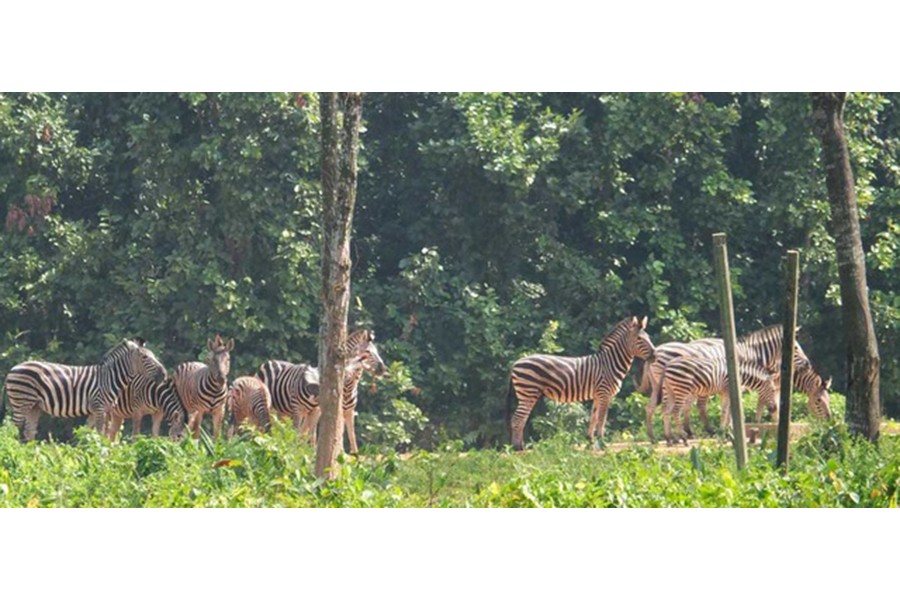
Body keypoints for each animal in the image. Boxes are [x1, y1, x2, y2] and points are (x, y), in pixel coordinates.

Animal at [4, 340, 165, 442]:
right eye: (145, 357)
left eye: (153, 355)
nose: (163, 374)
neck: (109, 378)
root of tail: (13, 368)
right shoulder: (100, 408)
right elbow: (100, 434)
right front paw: (100, 455)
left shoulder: (101, 410)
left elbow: (91, 433)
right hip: (21, 402)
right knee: (12, 428)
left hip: (34, 406)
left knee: (29, 432)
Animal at [506, 314, 652, 450]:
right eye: (640, 339)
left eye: (649, 337)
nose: (655, 355)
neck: (609, 364)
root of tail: (515, 363)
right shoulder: (605, 393)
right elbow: (602, 419)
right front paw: (602, 444)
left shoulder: (598, 394)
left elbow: (593, 417)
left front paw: (590, 442)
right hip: (528, 392)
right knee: (517, 419)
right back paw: (518, 448)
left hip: (527, 393)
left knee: (519, 419)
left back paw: (518, 446)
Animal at [652, 352, 780, 446]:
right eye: (773, 390)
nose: (774, 409)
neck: (740, 375)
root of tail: (668, 364)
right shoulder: (727, 390)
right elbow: (725, 411)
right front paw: (723, 433)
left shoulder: (725, 392)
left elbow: (729, 412)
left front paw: (730, 433)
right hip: (681, 389)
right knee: (675, 411)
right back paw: (683, 438)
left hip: (669, 390)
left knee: (666, 411)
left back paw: (669, 438)